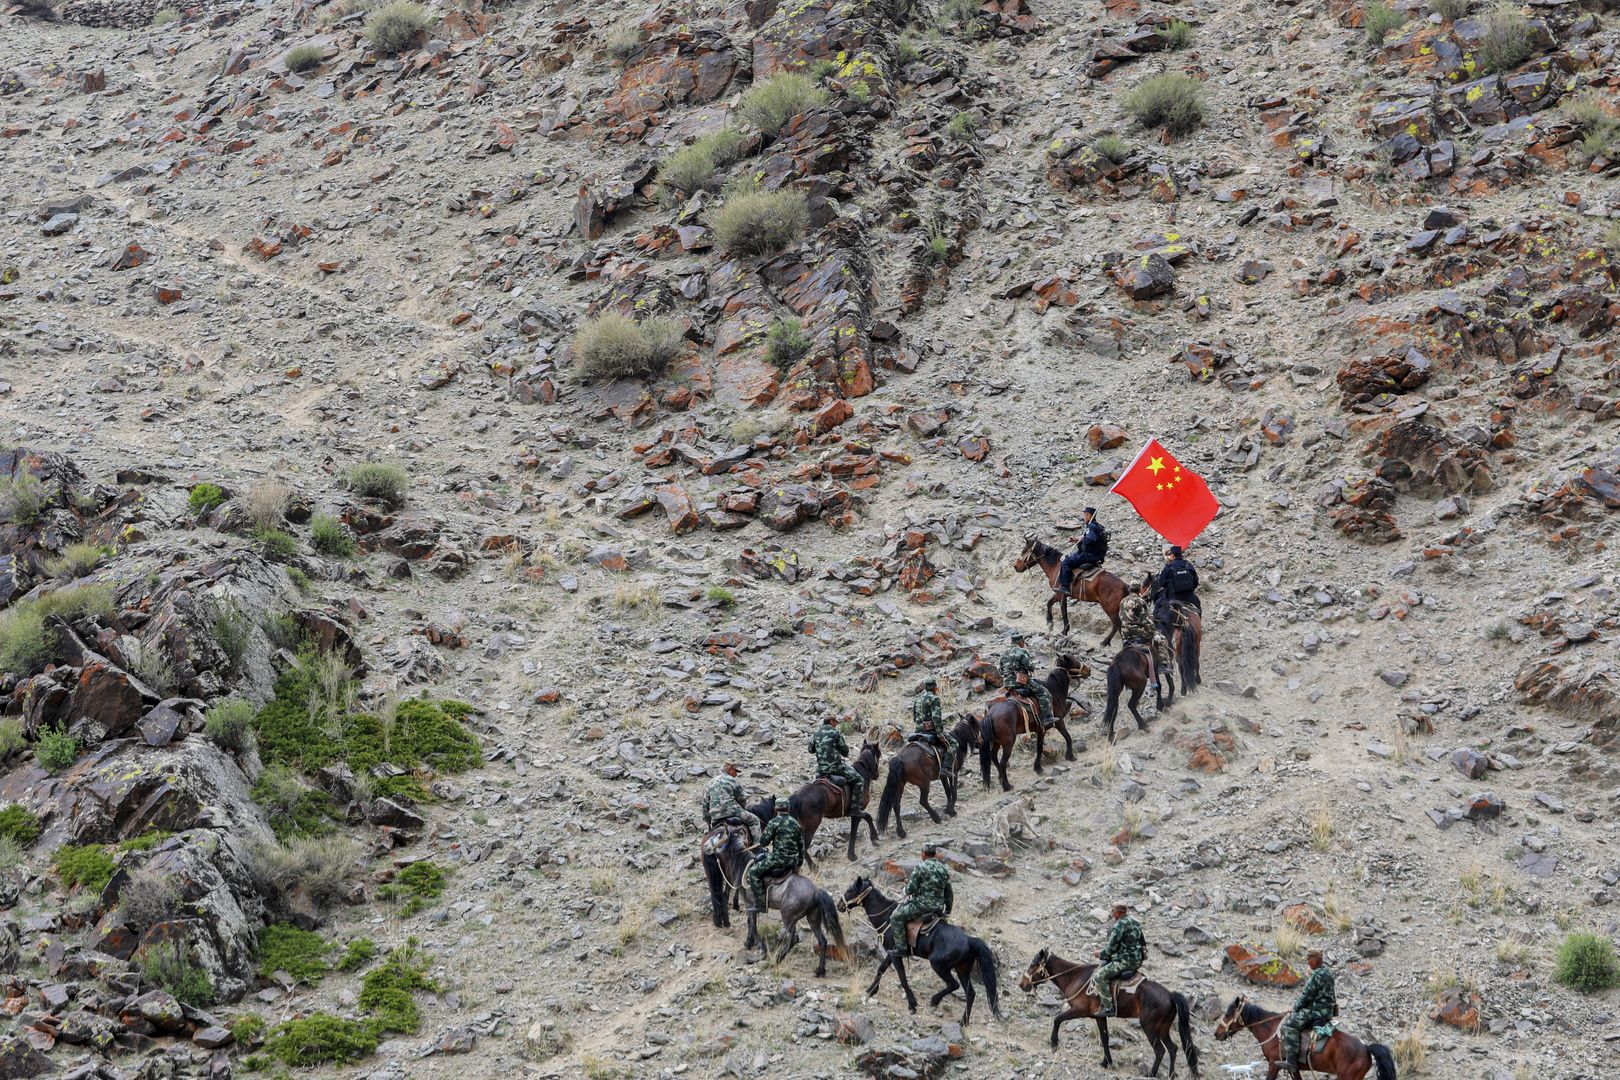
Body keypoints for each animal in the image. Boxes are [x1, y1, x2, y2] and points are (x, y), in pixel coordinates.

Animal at [848, 874, 997, 1029]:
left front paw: (912, 1004)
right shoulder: (891, 952)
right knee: (970, 993)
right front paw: (871, 990)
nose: (841, 904)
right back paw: (963, 1022)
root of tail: (969, 939)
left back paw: (935, 1000)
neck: (887, 916)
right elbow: (881, 969)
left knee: (953, 984)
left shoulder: (896, 954)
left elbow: (902, 977)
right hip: (962, 969)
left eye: (850, 890)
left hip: (938, 965)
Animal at [972, 654, 1088, 790]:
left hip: (995, 741)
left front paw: (1038, 768)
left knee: (993, 757)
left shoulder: (1040, 729)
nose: (1088, 670)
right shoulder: (1059, 722)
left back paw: (1001, 778)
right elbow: (1068, 737)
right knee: (1003, 761)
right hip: (1008, 742)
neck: (1054, 692)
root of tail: (990, 714)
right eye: (1074, 661)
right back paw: (1007, 785)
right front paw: (1071, 757)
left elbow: (1039, 747)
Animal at [1017, 952, 1198, 1075]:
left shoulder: (1079, 1010)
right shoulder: (1100, 1016)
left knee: (1160, 1051)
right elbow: (1104, 1038)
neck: (1076, 977)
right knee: (1173, 1048)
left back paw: (1152, 1074)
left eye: (1033, 965)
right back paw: (1170, 1075)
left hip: (1150, 1027)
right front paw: (1107, 1062)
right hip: (1163, 1028)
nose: (1022, 984)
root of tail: (1169, 995)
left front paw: (1054, 1043)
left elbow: (1057, 1019)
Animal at [1211, 997, 1399, 1080]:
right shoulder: (1293, 1068)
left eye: (1228, 1013)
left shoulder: (1274, 1064)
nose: (1217, 1034)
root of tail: (1366, 1048)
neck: (1271, 1029)